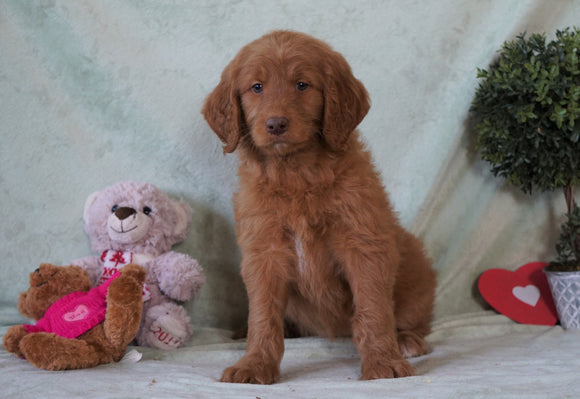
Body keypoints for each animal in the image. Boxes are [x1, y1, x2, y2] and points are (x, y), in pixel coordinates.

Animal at [204, 29, 436, 386]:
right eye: (257, 87)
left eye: (302, 85)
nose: (276, 124)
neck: (296, 175)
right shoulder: (264, 253)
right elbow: (263, 316)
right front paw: (255, 363)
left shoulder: (364, 244)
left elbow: (373, 308)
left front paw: (383, 361)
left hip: (416, 272)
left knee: (413, 318)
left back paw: (407, 340)